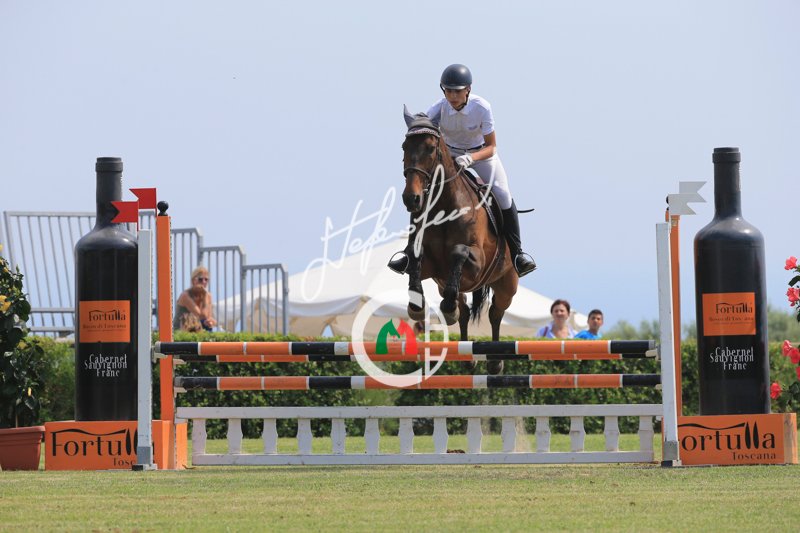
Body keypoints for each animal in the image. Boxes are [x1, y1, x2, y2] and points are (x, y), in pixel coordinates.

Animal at [400, 107, 518, 373]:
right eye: (404, 146)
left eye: (430, 148)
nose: (411, 199)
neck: (445, 205)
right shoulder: (433, 268)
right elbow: (415, 257)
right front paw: (417, 307)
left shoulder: (477, 264)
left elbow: (459, 252)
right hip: (446, 284)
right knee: (462, 310)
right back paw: (466, 356)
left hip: (507, 284)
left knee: (496, 313)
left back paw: (495, 362)